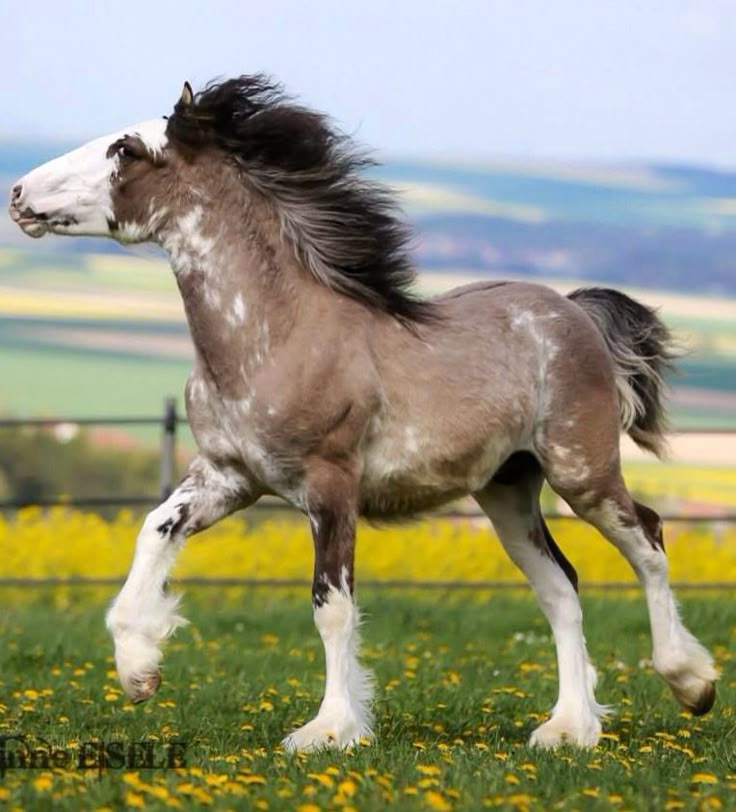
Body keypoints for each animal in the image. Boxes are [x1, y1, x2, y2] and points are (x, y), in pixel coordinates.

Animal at [8, 77, 716, 756]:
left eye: (125, 150)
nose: (17, 194)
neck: (276, 337)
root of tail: (572, 310)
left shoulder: (331, 486)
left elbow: (332, 605)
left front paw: (330, 730)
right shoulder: (228, 477)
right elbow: (154, 529)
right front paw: (139, 669)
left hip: (580, 470)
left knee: (648, 538)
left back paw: (690, 683)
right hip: (507, 490)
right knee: (561, 587)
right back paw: (568, 727)